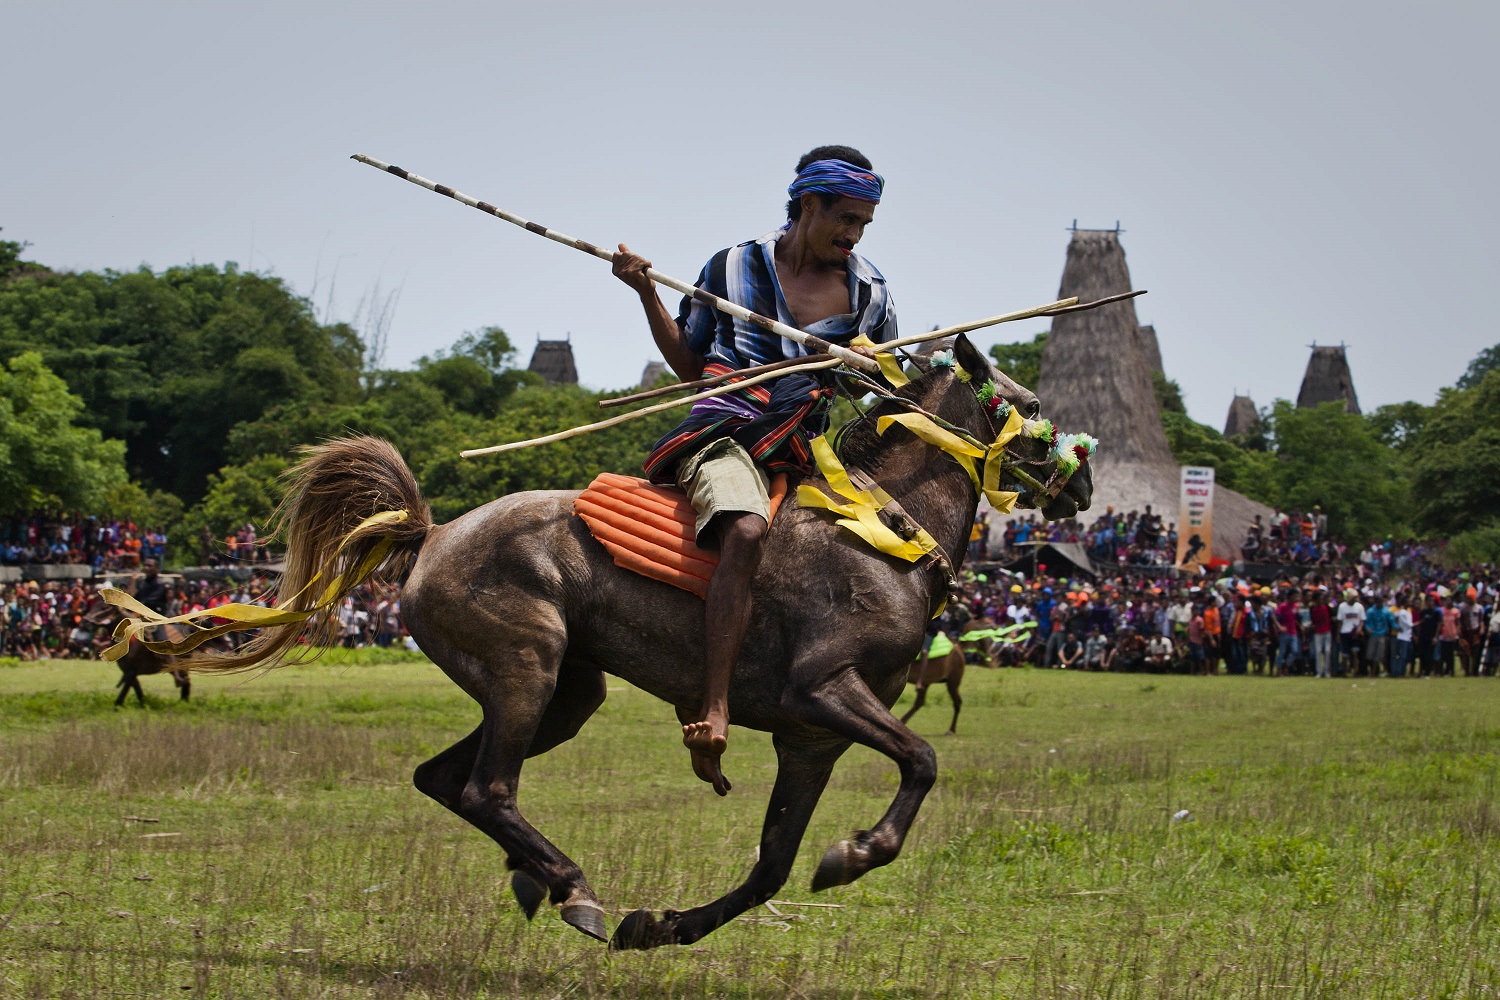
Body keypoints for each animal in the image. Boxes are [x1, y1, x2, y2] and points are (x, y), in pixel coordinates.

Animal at [158, 334, 1092, 947]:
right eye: (1035, 409)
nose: (1081, 485)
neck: (883, 526)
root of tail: (434, 534)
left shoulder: (811, 739)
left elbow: (773, 864)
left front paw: (666, 925)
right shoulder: (823, 692)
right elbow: (922, 760)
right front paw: (857, 852)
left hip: (566, 691)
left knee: (445, 779)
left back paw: (536, 877)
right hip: (526, 666)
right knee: (487, 787)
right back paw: (569, 886)